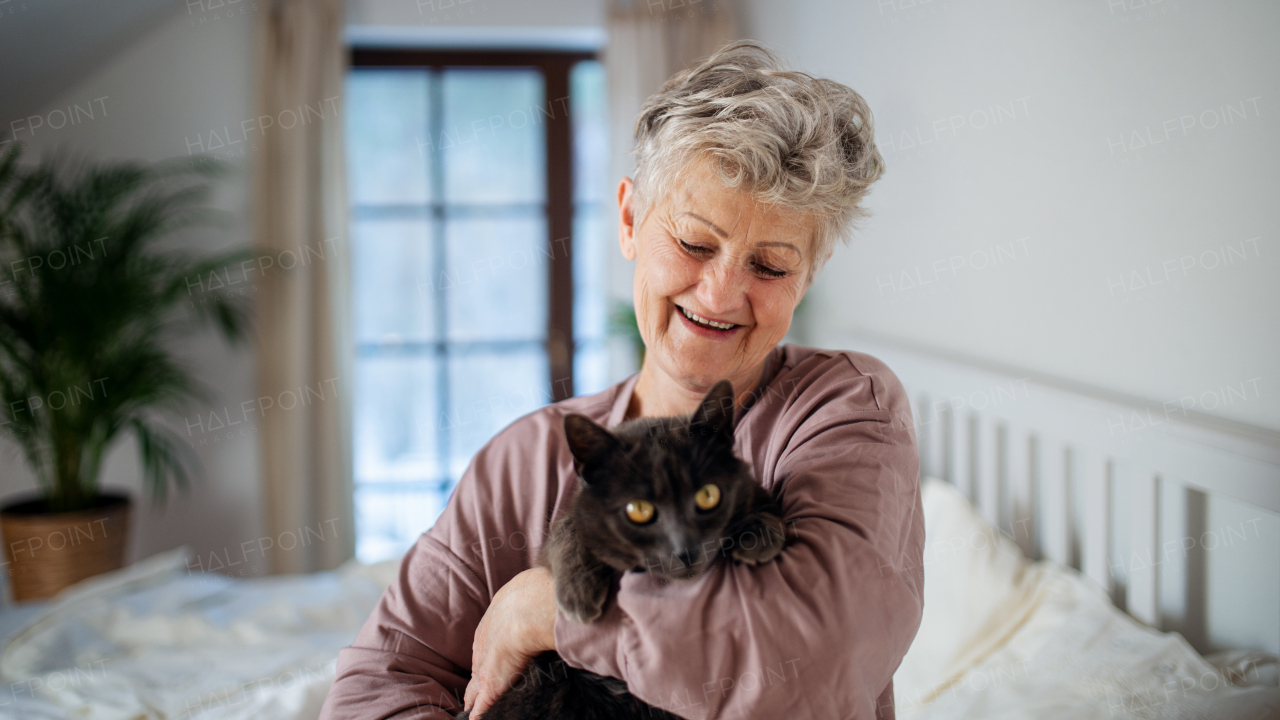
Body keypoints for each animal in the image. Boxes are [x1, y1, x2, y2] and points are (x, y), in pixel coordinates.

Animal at [455, 381, 783, 717]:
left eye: (708, 495)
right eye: (638, 510)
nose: (686, 550)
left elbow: (762, 504)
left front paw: (759, 532)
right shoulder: (562, 530)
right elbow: (568, 532)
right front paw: (579, 594)